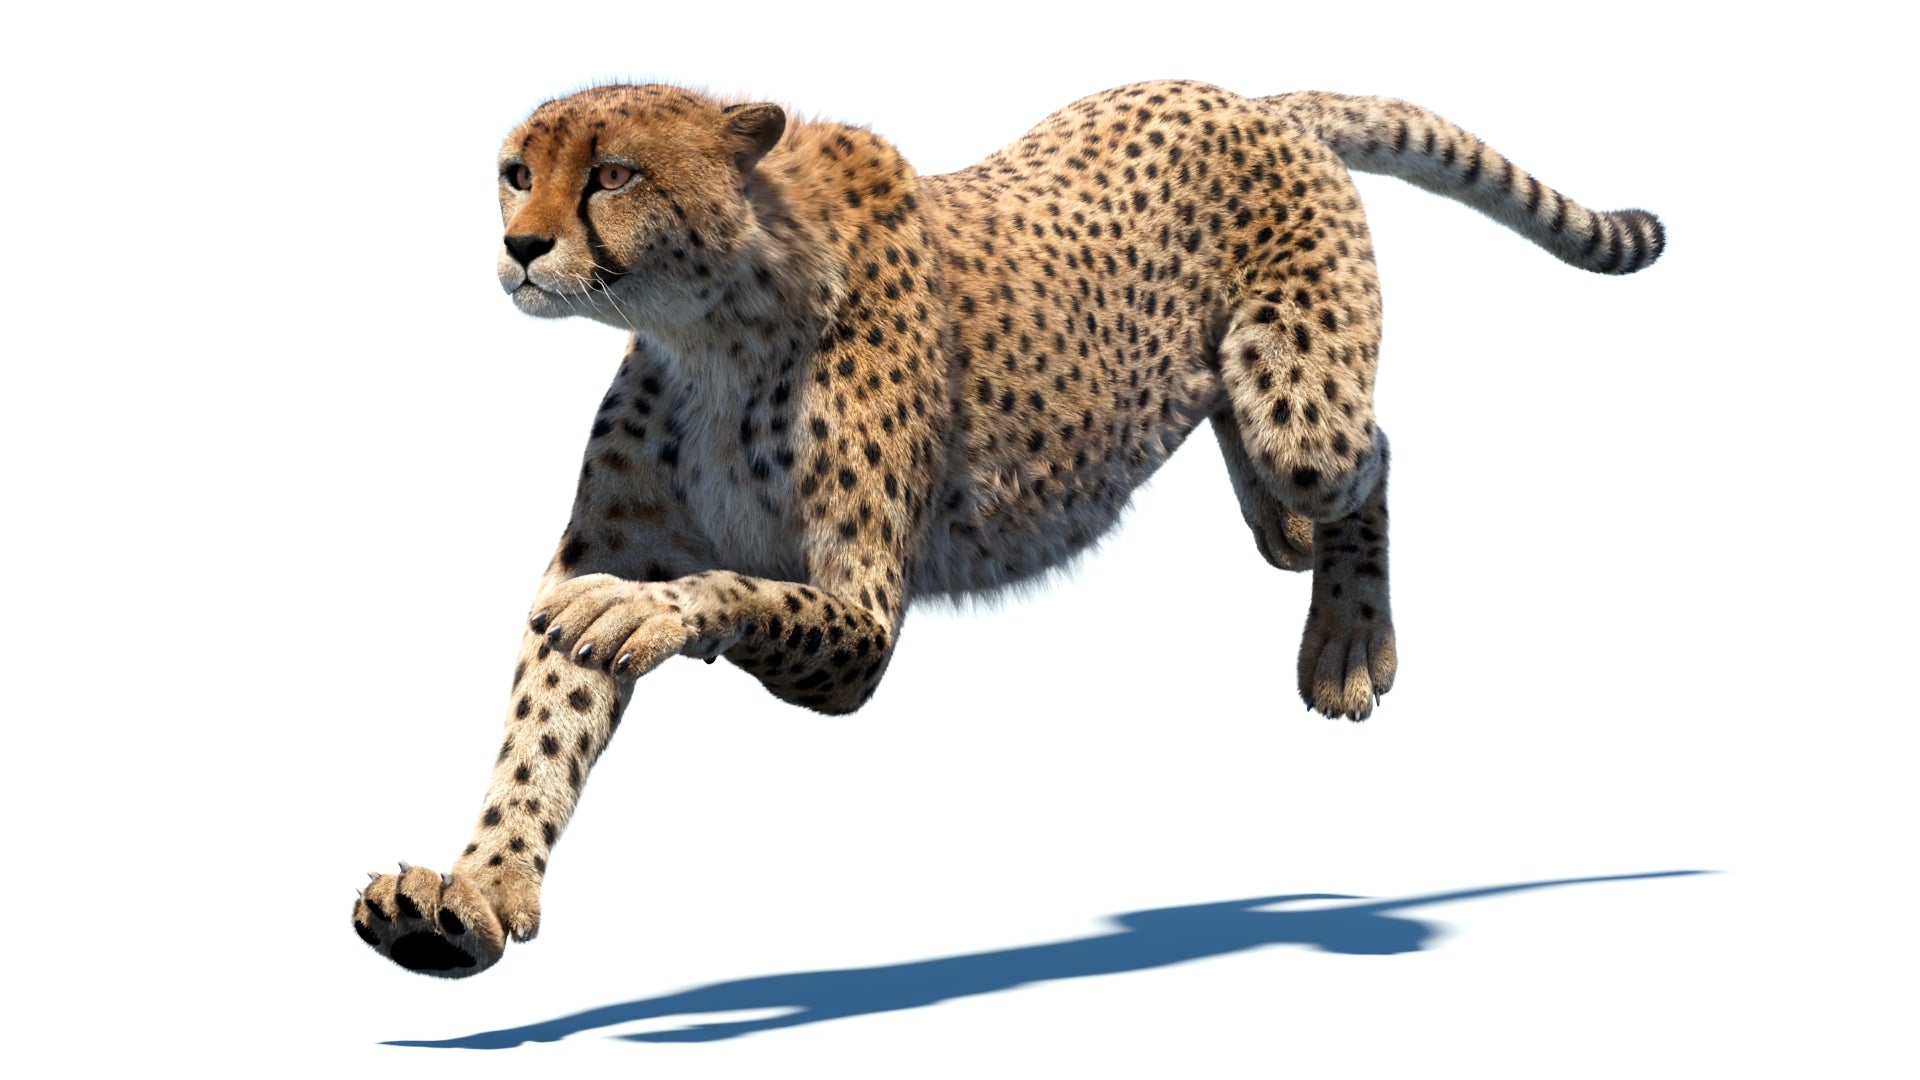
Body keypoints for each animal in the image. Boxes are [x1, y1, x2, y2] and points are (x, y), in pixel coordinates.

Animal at [352, 80, 1664, 977]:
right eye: (515, 170)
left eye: (613, 173)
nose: (521, 247)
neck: (711, 318)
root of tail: (1248, 95)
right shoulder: (621, 535)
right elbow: (542, 732)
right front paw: (470, 899)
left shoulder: (861, 619)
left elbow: (728, 597)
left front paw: (644, 616)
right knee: (1252, 437)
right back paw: (1281, 531)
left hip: (1308, 407)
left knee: (1372, 451)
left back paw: (1345, 639)